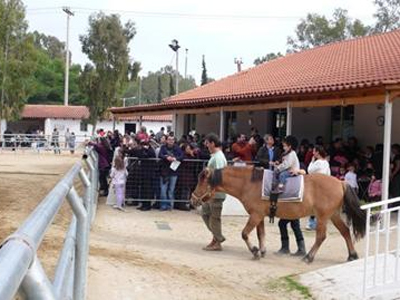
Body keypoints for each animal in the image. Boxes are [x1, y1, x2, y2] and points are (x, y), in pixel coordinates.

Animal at [191, 166, 366, 262]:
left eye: (201, 181)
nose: (192, 199)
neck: (249, 183)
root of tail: (341, 182)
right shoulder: (260, 216)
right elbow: (261, 234)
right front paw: (261, 251)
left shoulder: (255, 215)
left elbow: (245, 234)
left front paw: (255, 251)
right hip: (333, 215)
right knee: (345, 232)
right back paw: (352, 255)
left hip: (323, 217)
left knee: (321, 237)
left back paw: (308, 257)